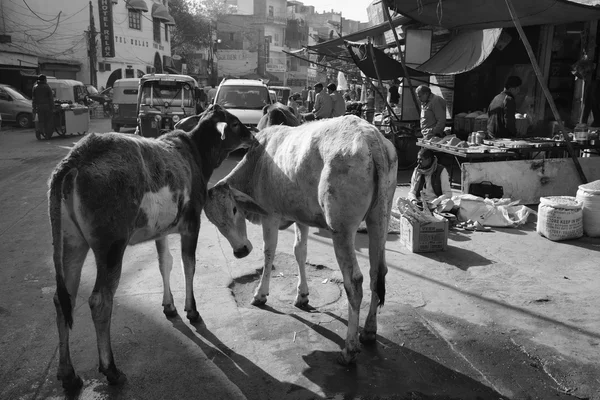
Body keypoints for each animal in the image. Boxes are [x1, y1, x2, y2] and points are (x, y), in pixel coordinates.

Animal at [47, 104, 253, 390]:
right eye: (233, 123)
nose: (252, 135)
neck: (196, 154)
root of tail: (73, 161)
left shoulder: (162, 230)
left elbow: (164, 264)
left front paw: (169, 307)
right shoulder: (192, 224)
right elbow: (188, 266)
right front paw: (192, 311)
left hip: (71, 242)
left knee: (62, 298)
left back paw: (68, 374)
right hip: (111, 247)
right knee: (100, 301)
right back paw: (111, 370)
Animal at [205, 107, 398, 366]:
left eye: (234, 209)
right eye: (215, 221)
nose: (240, 251)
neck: (257, 163)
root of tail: (370, 136)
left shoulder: (271, 215)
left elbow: (269, 252)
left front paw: (260, 294)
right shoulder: (301, 217)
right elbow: (300, 251)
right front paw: (302, 295)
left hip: (341, 229)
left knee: (355, 282)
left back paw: (349, 349)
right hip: (379, 219)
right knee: (378, 272)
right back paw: (368, 331)